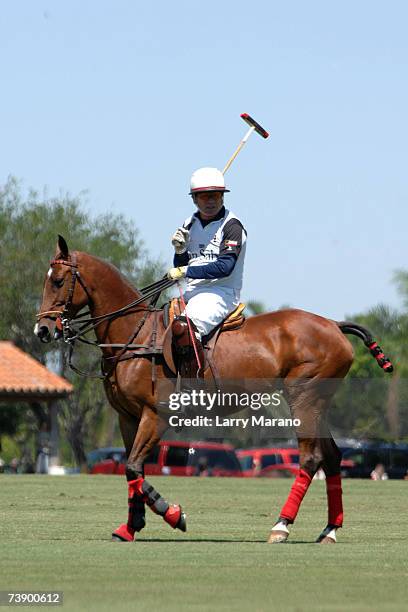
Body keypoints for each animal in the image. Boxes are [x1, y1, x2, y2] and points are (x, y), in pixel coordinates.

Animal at [35, 238, 396, 544]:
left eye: (58, 281)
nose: (43, 329)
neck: (133, 336)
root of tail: (335, 325)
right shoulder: (127, 417)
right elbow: (131, 470)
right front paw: (130, 527)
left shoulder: (156, 415)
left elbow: (134, 467)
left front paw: (174, 515)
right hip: (318, 402)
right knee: (332, 456)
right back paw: (329, 529)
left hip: (303, 397)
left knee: (311, 457)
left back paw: (281, 526)